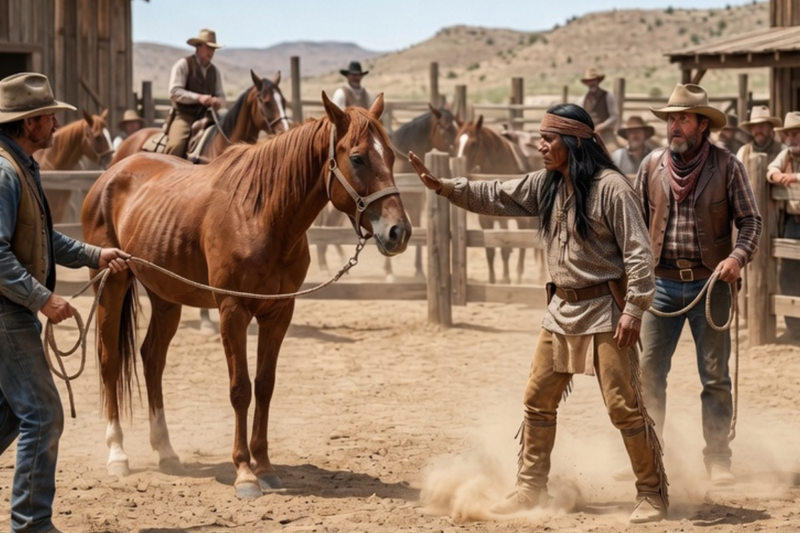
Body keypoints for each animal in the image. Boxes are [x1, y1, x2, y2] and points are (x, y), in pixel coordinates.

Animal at [81, 92, 411, 499]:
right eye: (358, 158)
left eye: (391, 156)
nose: (398, 231)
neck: (262, 216)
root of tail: (111, 173)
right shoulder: (233, 311)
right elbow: (240, 389)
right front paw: (244, 473)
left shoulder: (279, 313)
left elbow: (264, 386)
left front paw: (265, 466)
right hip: (110, 283)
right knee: (109, 361)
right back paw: (117, 454)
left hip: (165, 297)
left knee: (152, 359)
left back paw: (167, 451)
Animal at [315, 104, 459, 281]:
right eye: (446, 128)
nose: (458, 150)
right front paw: (389, 272)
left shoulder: (415, 204)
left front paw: (419, 270)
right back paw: (324, 265)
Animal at [456, 115, 546, 284]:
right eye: (457, 142)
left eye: (474, 143)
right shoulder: (484, 220)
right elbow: (490, 249)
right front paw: (492, 280)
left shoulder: (503, 219)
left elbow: (505, 246)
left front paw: (506, 279)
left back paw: (524, 275)